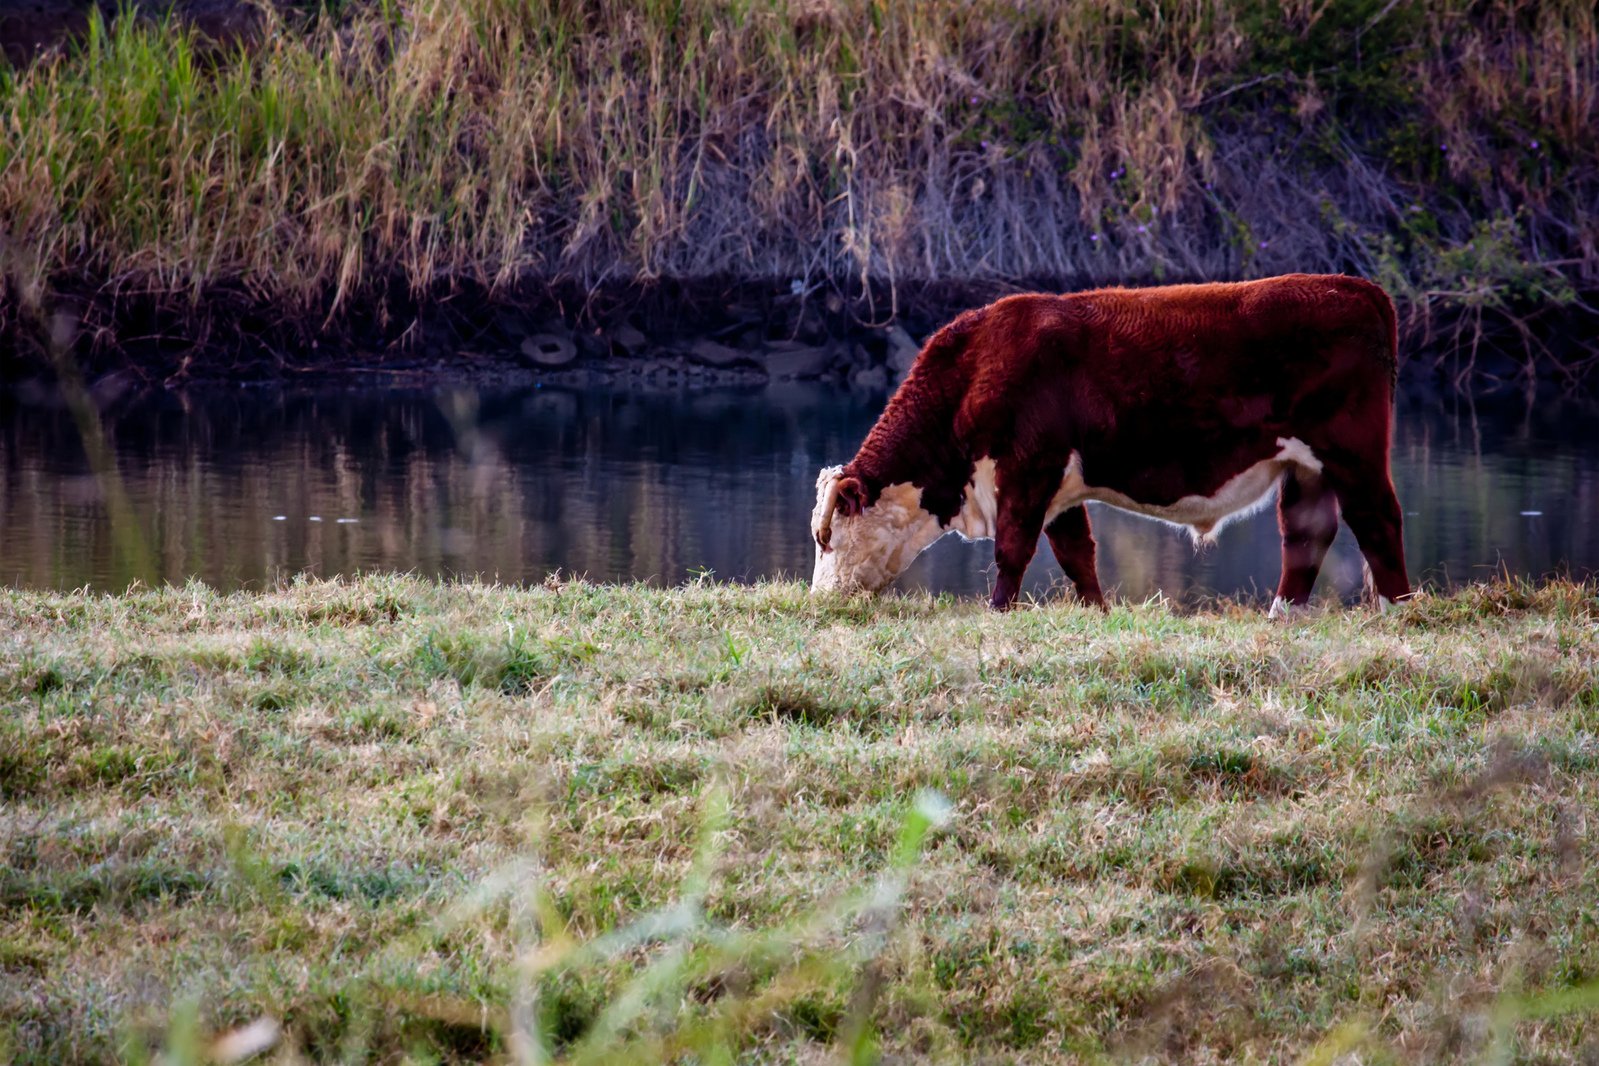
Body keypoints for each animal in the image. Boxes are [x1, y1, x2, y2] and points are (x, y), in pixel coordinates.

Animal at [812, 273, 1413, 616]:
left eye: (827, 538)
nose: (820, 601)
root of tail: (1357, 287)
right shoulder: (1056, 489)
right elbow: (1076, 554)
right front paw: (1095, 613)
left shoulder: (1029, 468)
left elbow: (1013, 550)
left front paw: (998, 612)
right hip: (1307, 465)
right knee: (1307, 533)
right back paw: (1283, 613)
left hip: (1352, 451)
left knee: (1377, 519)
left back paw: (1398, 608)